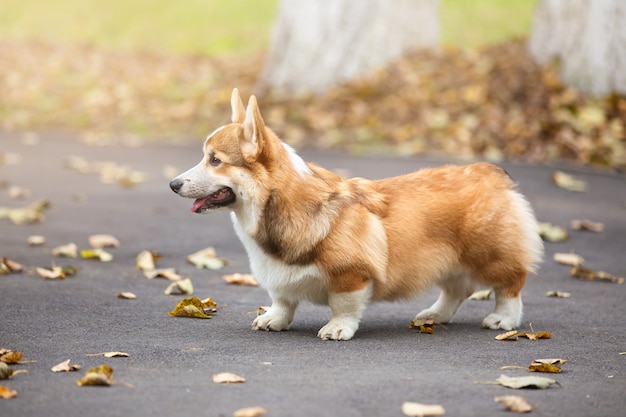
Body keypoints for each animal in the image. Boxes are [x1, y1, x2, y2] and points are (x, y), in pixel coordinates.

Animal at [171, 89, 540, 340]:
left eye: (215, 160)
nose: (173, 184)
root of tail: (488, 172)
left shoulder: (350, 274)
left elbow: (343, 305)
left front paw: (337, 329)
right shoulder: (279, 280)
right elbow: (282, 300)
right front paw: (274, 320)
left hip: (489, 255)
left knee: (511, 283)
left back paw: (504, 320)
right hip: (446, 260)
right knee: (457, 290)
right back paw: (434, 315)